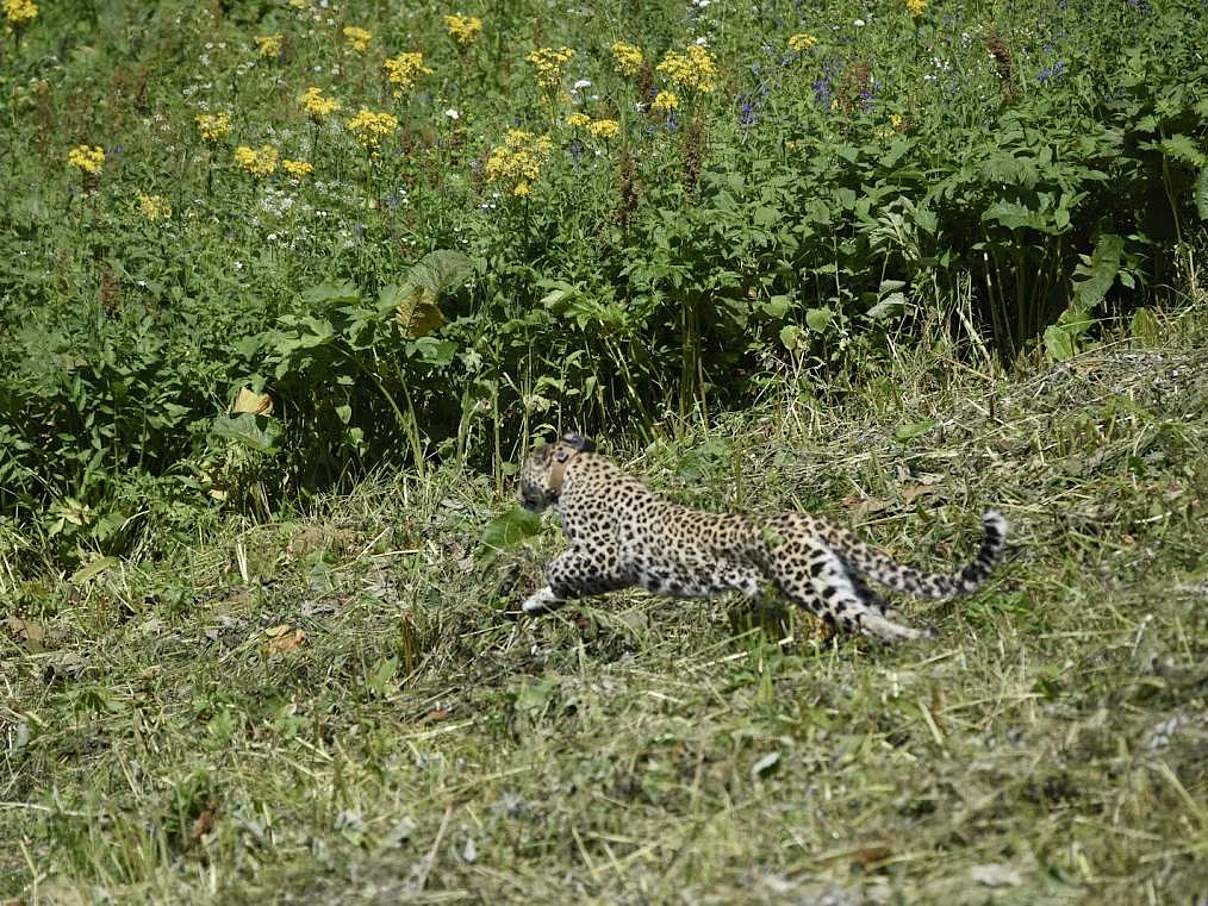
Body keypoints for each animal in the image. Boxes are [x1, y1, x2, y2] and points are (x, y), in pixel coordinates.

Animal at [514, 434, 1005, 642]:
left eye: (520, 475)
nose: (519, 497)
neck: (574, 470)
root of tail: (811, 522)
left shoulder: (603, 553)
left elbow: (561, 565)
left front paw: (546, 585)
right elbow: (560, 586)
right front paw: (536, 601)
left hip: (808, 582)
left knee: (860, 615)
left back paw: (906, 640)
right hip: (835, 574)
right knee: (876, 605)